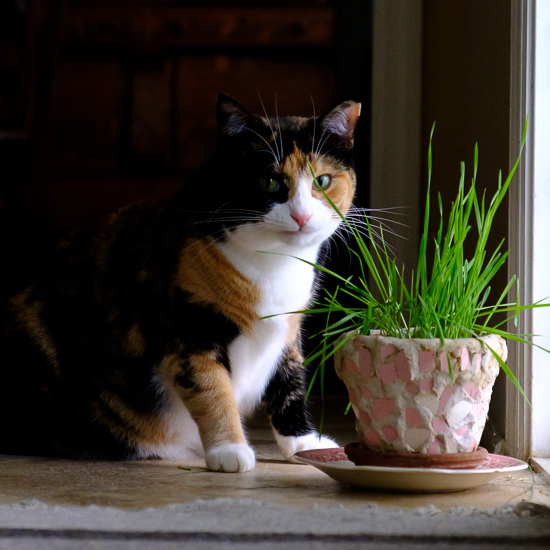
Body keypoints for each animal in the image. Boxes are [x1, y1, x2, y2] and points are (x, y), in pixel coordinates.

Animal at [0, 95, 362, 474]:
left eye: (323, 180)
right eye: (269, 182)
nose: (301, 216)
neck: (274, 264)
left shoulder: (286, 332)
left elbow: (290, 385)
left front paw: (305, 444)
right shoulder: (191, 331)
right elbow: (211, 389)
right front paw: (229, 450)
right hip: (34, 327)